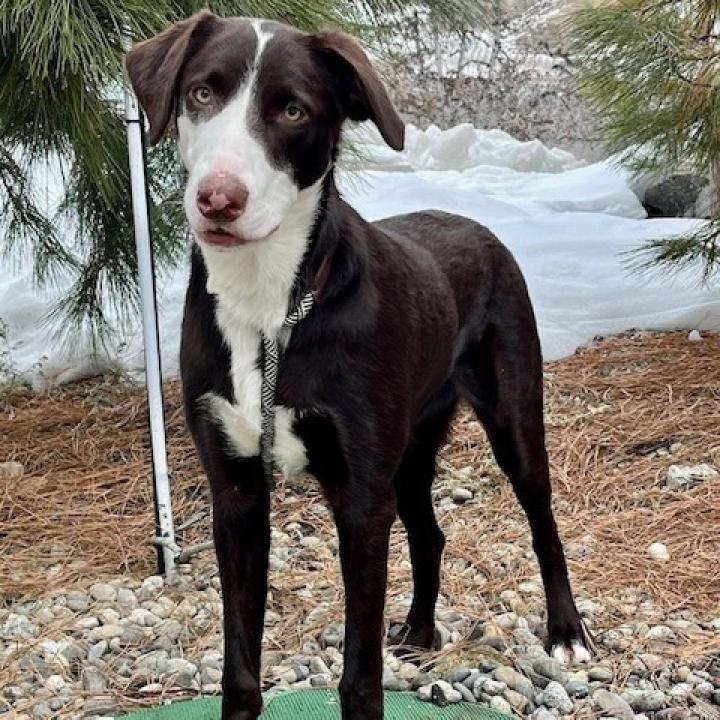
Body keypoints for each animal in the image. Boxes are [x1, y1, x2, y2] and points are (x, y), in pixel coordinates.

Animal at [128, 12, 592, 720]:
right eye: (202, 94)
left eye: (293, 110)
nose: (218, 200)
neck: (270, 305)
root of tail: (480, 228)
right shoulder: (236, 494)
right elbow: (240, 666)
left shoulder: (359, 498)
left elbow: (358, 674)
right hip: (409, 450)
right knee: (429, 535)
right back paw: (421, 631)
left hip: (511, 420)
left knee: (544, 525)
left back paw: (565, 631)